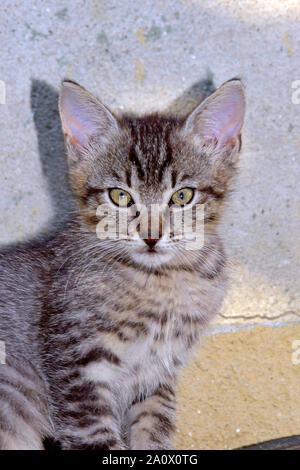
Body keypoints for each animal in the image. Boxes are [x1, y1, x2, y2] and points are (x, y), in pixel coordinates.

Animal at [0, 79, 245, 450]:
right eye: (120, 196)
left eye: (182, 196)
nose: (151, 237)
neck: (161, 282)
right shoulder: (78, 368)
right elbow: (98, 439)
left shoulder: (158, 374)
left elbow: (153, 431)